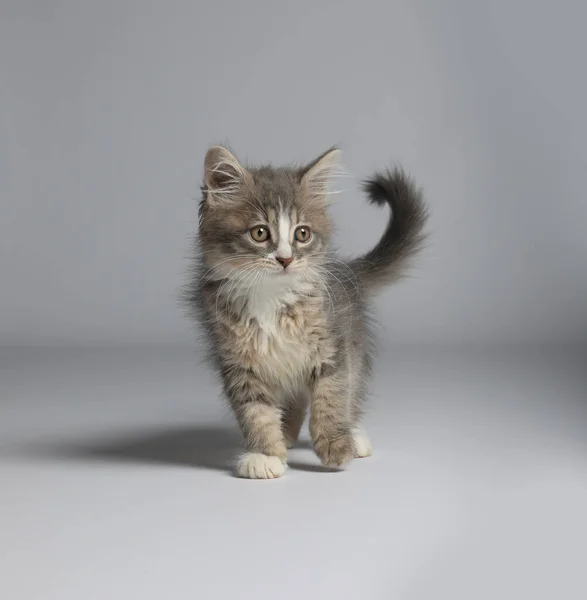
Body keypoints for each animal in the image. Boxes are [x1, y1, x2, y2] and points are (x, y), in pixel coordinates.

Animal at [187, 145, 428, 478]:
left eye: (302, 234)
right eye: (259, 233)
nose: (286, 259)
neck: (272, 298)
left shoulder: (332, 346)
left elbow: (331, 396)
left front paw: (336, 444)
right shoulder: (237, 361)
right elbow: (255, 411)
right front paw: (266, 454)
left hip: (355, 345)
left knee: (351, 392)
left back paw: (353, 434)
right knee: (297, 399)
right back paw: (286, 433)